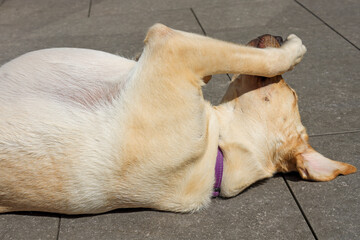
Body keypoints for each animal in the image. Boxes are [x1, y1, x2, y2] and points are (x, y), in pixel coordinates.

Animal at [0, 23, 354, 214]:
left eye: (290, 91)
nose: (276, 34)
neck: (219, 151)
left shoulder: (170, 48)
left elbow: (262, 59)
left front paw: (293, 48)